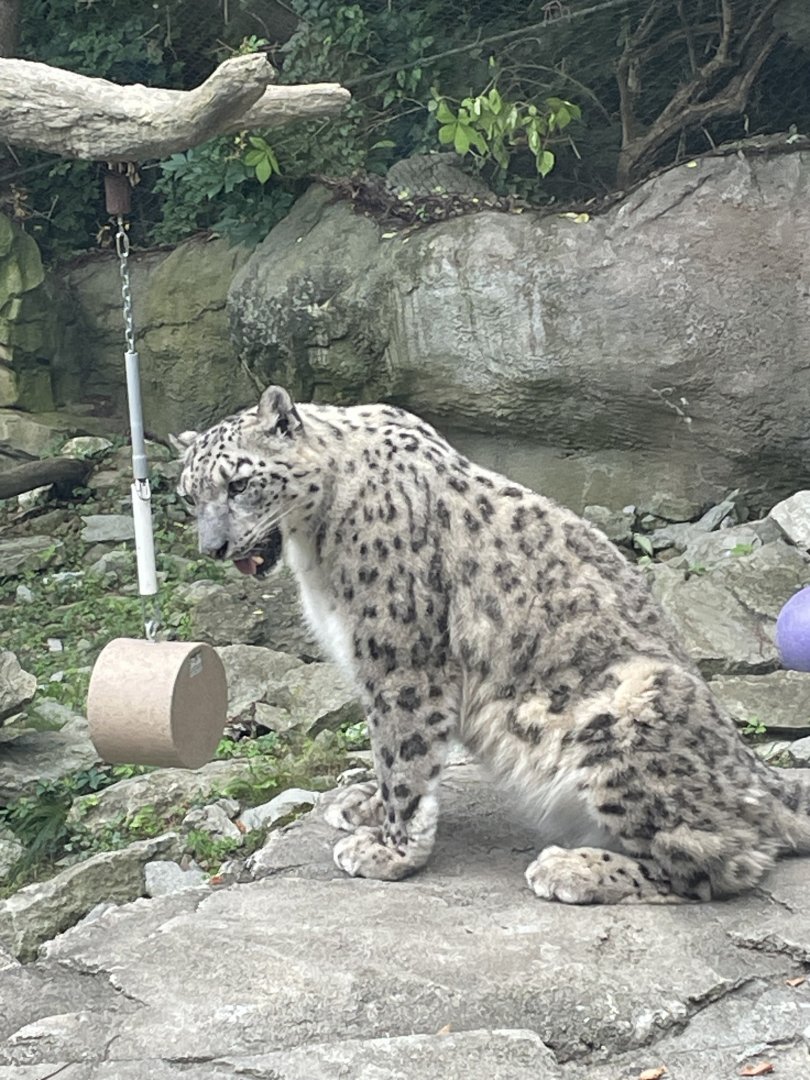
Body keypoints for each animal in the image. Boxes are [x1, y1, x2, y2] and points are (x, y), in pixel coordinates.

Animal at [175, 385, 810, 904]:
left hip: (628, 705)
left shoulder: (400, 658)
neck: (313, 547)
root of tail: (759, 776)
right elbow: (384, 754)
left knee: (724, 859)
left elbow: (402, 753)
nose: (213, 547)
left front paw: (390, 851)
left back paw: (571, 869)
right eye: (188, 495)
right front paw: (366, 806)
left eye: (239, 483)